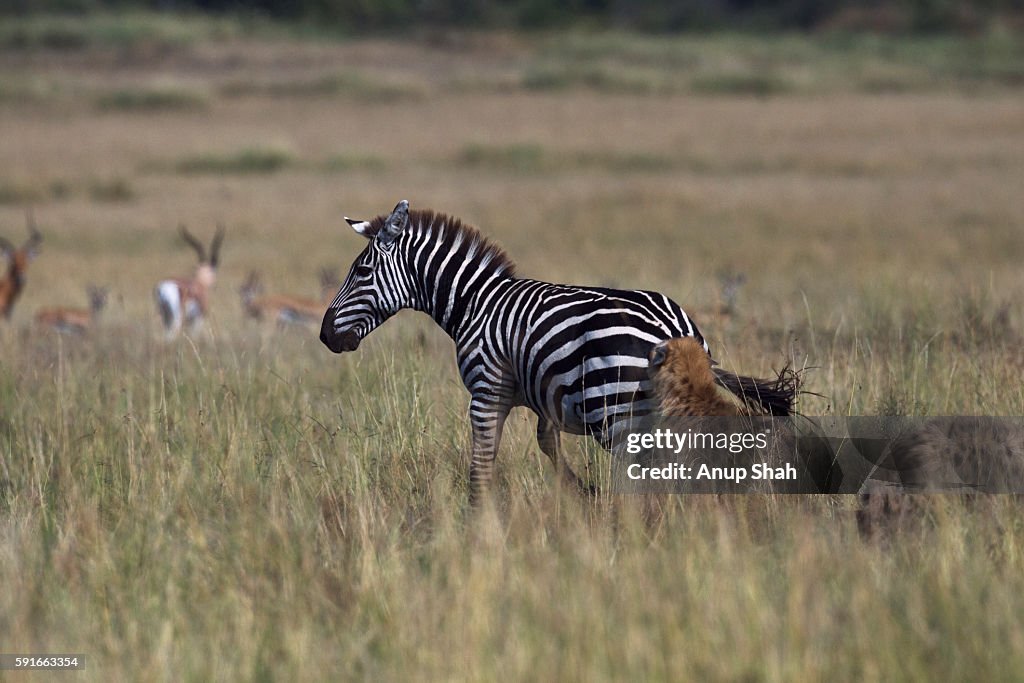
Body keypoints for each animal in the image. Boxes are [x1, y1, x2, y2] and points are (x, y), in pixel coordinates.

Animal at [320, 199, 793, 503]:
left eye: (362, 271)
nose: (326, 336)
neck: (475, 301)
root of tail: (674, 329)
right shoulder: (545, 394)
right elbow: (547, 444)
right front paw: (583, 493)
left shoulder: (486, 391)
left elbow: (481, 467)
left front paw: (479, 525)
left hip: (617, 415)